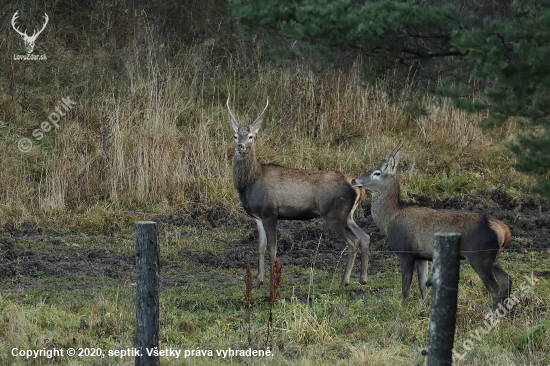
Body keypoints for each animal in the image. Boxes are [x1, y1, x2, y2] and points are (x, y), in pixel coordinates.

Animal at [229, 96, 370, 288]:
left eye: (251, 136)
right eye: (235, 135)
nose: (240, 146)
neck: (250, 183)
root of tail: (359, 188)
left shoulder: (270, 212)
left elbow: (273, 249)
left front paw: (272, 280)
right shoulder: (258, 216)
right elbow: (260, 247)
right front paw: (258, 280)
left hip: (334, 213)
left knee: (353, 241)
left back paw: (344, 281)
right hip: (348, 214)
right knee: (365, 236)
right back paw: (362, 278)